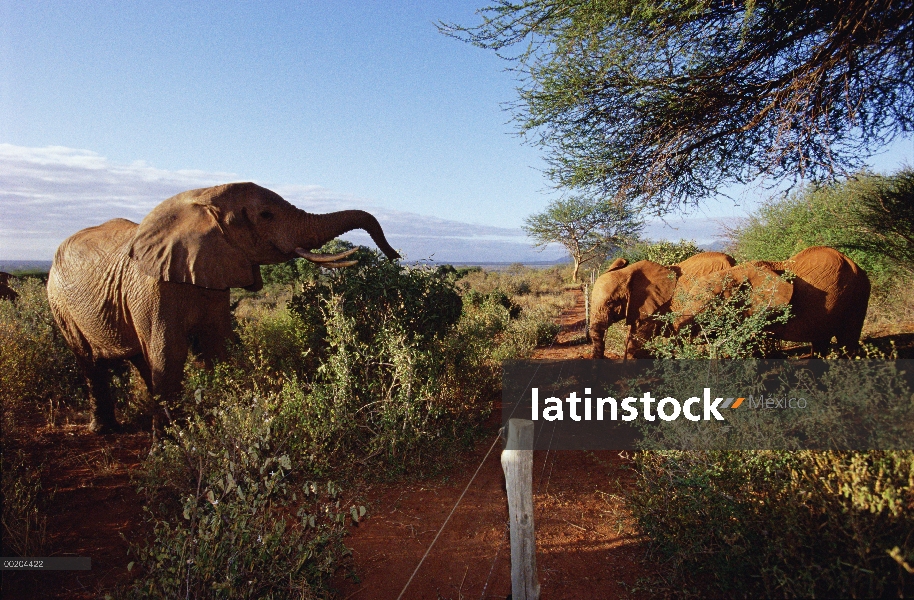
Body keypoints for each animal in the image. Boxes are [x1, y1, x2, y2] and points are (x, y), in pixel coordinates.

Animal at [48, 182, 400, 432]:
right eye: (266, 215)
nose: (395, 255)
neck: (200, 198)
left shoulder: (215, 279)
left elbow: (219, 348)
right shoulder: (151, 288)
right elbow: (168, 354)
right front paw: (169, 447)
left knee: (138, 358)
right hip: (59, 303)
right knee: (90, 360)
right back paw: (104, 430)